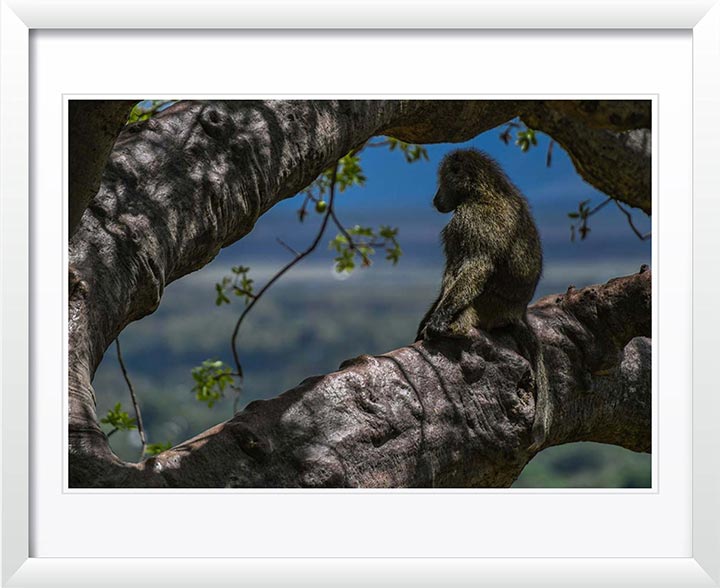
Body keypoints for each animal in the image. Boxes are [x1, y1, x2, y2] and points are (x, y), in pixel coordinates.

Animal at [416, 148, 551, 452]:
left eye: (443, 180)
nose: (434, 199)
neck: (481, 191)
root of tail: (518, 312)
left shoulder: (467, 221)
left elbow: (475, 266)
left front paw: (438, 321)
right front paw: (425, 322)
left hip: (490, 307)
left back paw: (456, 329)